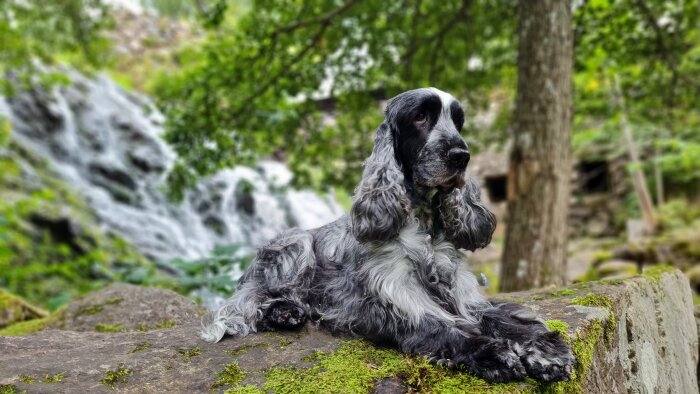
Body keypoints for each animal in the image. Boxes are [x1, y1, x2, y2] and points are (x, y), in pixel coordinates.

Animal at [200, 87, 572, 384]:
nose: (461, 156)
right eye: (420, 117)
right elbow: (444, 327)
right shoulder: (393, 294)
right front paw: (493, 354)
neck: (423, 224)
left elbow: (504, 319)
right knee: (253, 297)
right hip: (296, 243)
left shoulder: (463, 292)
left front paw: (546, 351)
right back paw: (283, 311)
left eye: (458, 121)